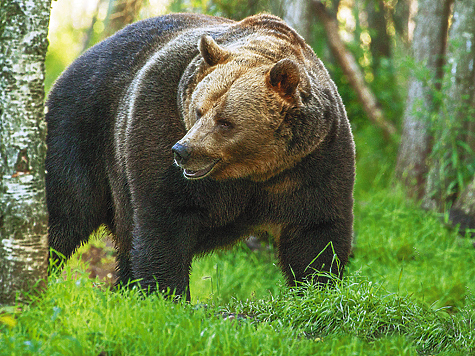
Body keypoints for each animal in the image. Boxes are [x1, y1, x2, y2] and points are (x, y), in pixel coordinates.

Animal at [45, 12, 356, 300]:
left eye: (225, 122)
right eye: (198, 110)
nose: (182, 151)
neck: (253, 170)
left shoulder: (313, 161)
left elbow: (315, 232)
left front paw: (318, 289)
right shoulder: (158, 120)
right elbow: (163, 221)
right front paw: (165, 294)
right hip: (80, 125)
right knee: (66, 208)